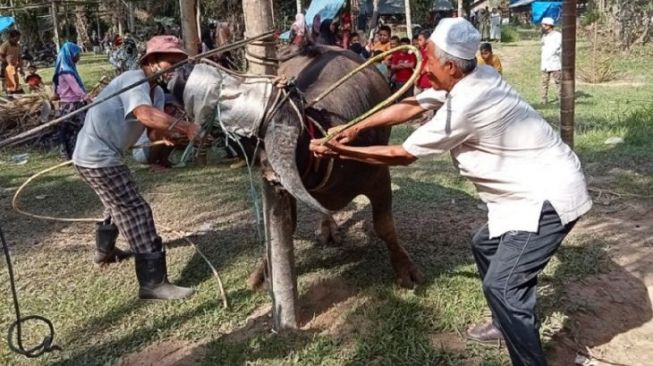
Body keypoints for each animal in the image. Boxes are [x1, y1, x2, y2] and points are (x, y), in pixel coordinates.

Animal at [169, 44, 422, 292]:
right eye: (253, 143)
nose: (181, 73)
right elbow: (281, 233)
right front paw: (262, 273)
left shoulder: (379, 177)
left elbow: (384, 227)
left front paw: (405, 269)